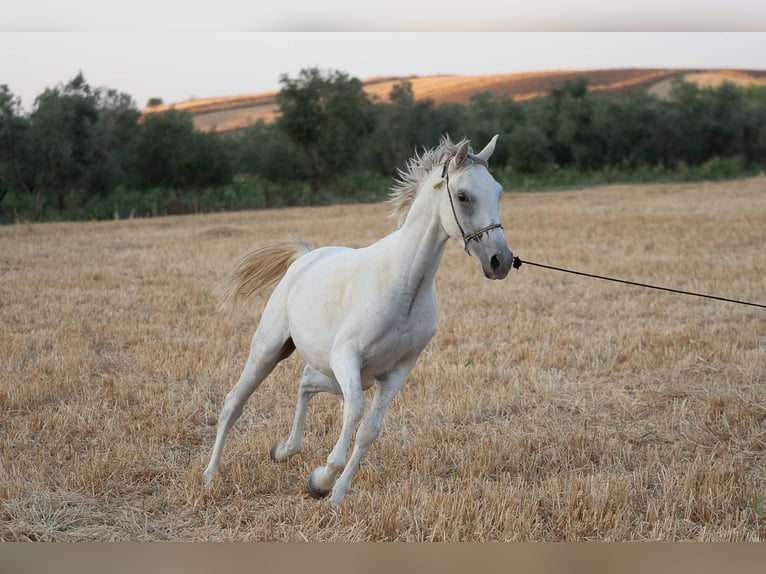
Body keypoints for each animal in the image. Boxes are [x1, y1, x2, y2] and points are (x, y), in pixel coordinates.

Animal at [204, 134, 516, 508]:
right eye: (464, 196)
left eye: (498, 192)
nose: (501, 261)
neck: (404, 284)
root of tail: (305, 257)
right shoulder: (347, 358)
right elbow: (354, 413)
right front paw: (321, 479)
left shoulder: (397, 371)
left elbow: (369, 430)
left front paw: (333, 494)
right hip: (269, 351)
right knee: (233, 403)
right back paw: (209, 476)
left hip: (342, 374)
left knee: (305, 382)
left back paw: (283, 450)